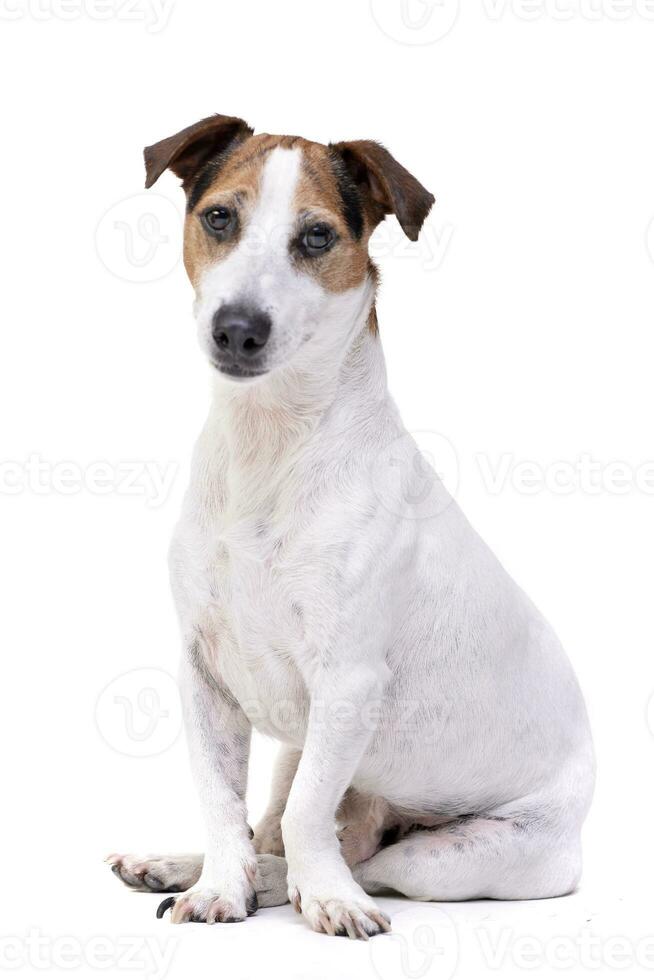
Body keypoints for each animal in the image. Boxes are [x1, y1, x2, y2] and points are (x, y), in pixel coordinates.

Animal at [110, 111, 596, 936]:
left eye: (316, 236)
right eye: (220, 217)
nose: (237, 329)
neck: (270, 448)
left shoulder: (348, 684)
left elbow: (311, 816)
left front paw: (326, 898)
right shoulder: (204, 676)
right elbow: (222, 801)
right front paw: (218, 885)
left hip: (450, 860)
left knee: (357, 854)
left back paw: (321, 885)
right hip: (294, 756)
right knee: (272, 826)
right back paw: (183, 867)